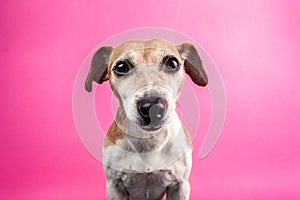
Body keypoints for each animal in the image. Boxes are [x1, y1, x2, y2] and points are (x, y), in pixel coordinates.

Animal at [84, 38, 206, 199]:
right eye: (121, 67)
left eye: (172, 63)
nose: (153, 107)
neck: (149, 141)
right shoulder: (114, 186)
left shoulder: (180, 186)